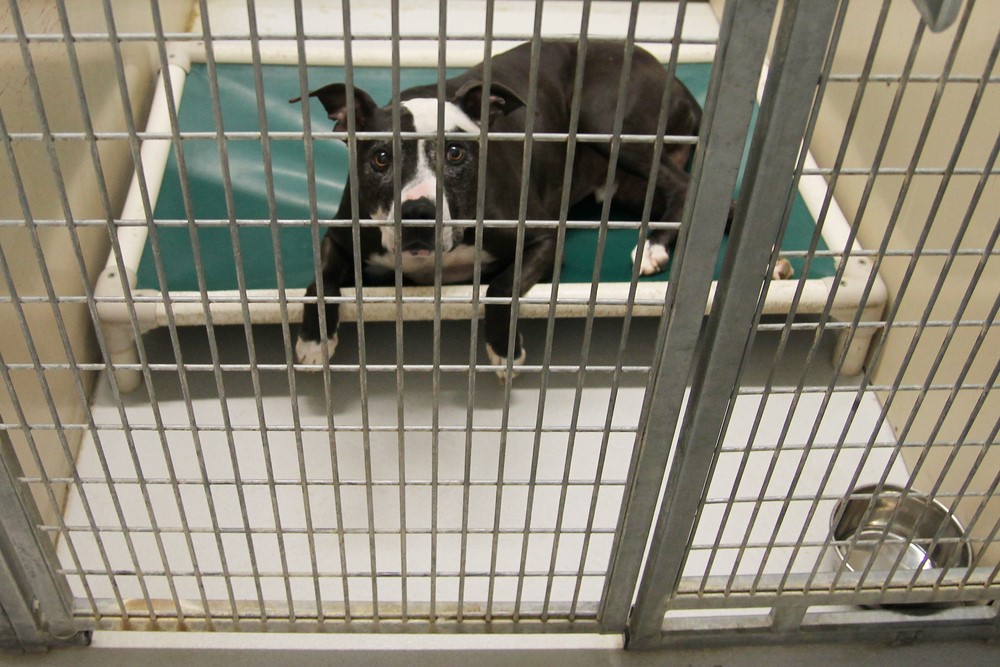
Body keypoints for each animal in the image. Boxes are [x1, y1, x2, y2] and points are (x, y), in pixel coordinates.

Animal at [292, 41, 704, 380]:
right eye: (380, 158)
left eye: (455, 152)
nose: (419, 214)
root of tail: (673, 78)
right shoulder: (339, 235)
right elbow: (319, 280)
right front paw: (314, 341)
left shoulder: (543, 239)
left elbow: (499, 287)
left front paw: (505, 350)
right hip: (624, 184)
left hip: (605, 122)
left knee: (682, 184)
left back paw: (654, 246)